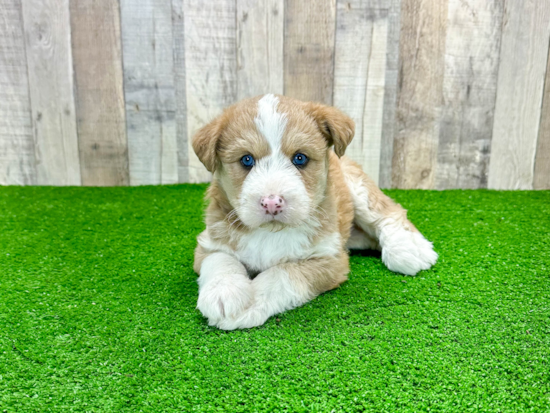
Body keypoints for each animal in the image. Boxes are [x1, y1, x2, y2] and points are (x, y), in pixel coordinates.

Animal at [192, 95, 438, 330]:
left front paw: (251, 303)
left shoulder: (329, 260)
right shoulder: (208, 243)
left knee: (388, 211)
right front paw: (224, 293)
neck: (271, 232)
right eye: (246, 159)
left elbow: (282, 274)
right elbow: (220, 259)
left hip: (358, 189)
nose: (272, 203)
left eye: (300, 158)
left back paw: (408, 248)